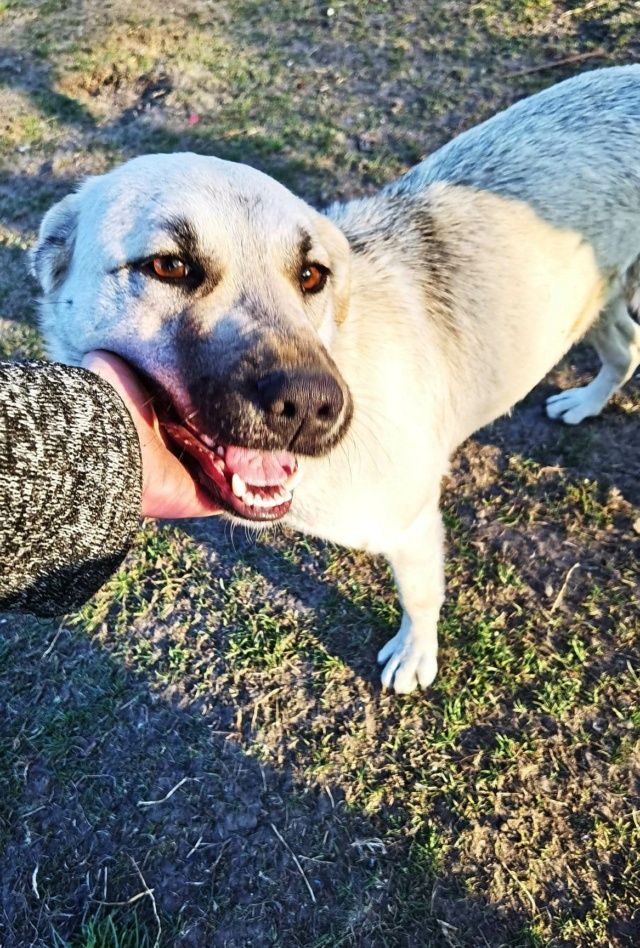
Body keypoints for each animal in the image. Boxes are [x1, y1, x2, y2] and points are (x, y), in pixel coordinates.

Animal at [32, 65, 640, 688]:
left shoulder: (415, 523)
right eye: (169, 266)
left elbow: (421, 596)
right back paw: (585, 403)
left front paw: (416, 654)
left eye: (311, 275)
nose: (309, 408)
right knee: (629, 346)